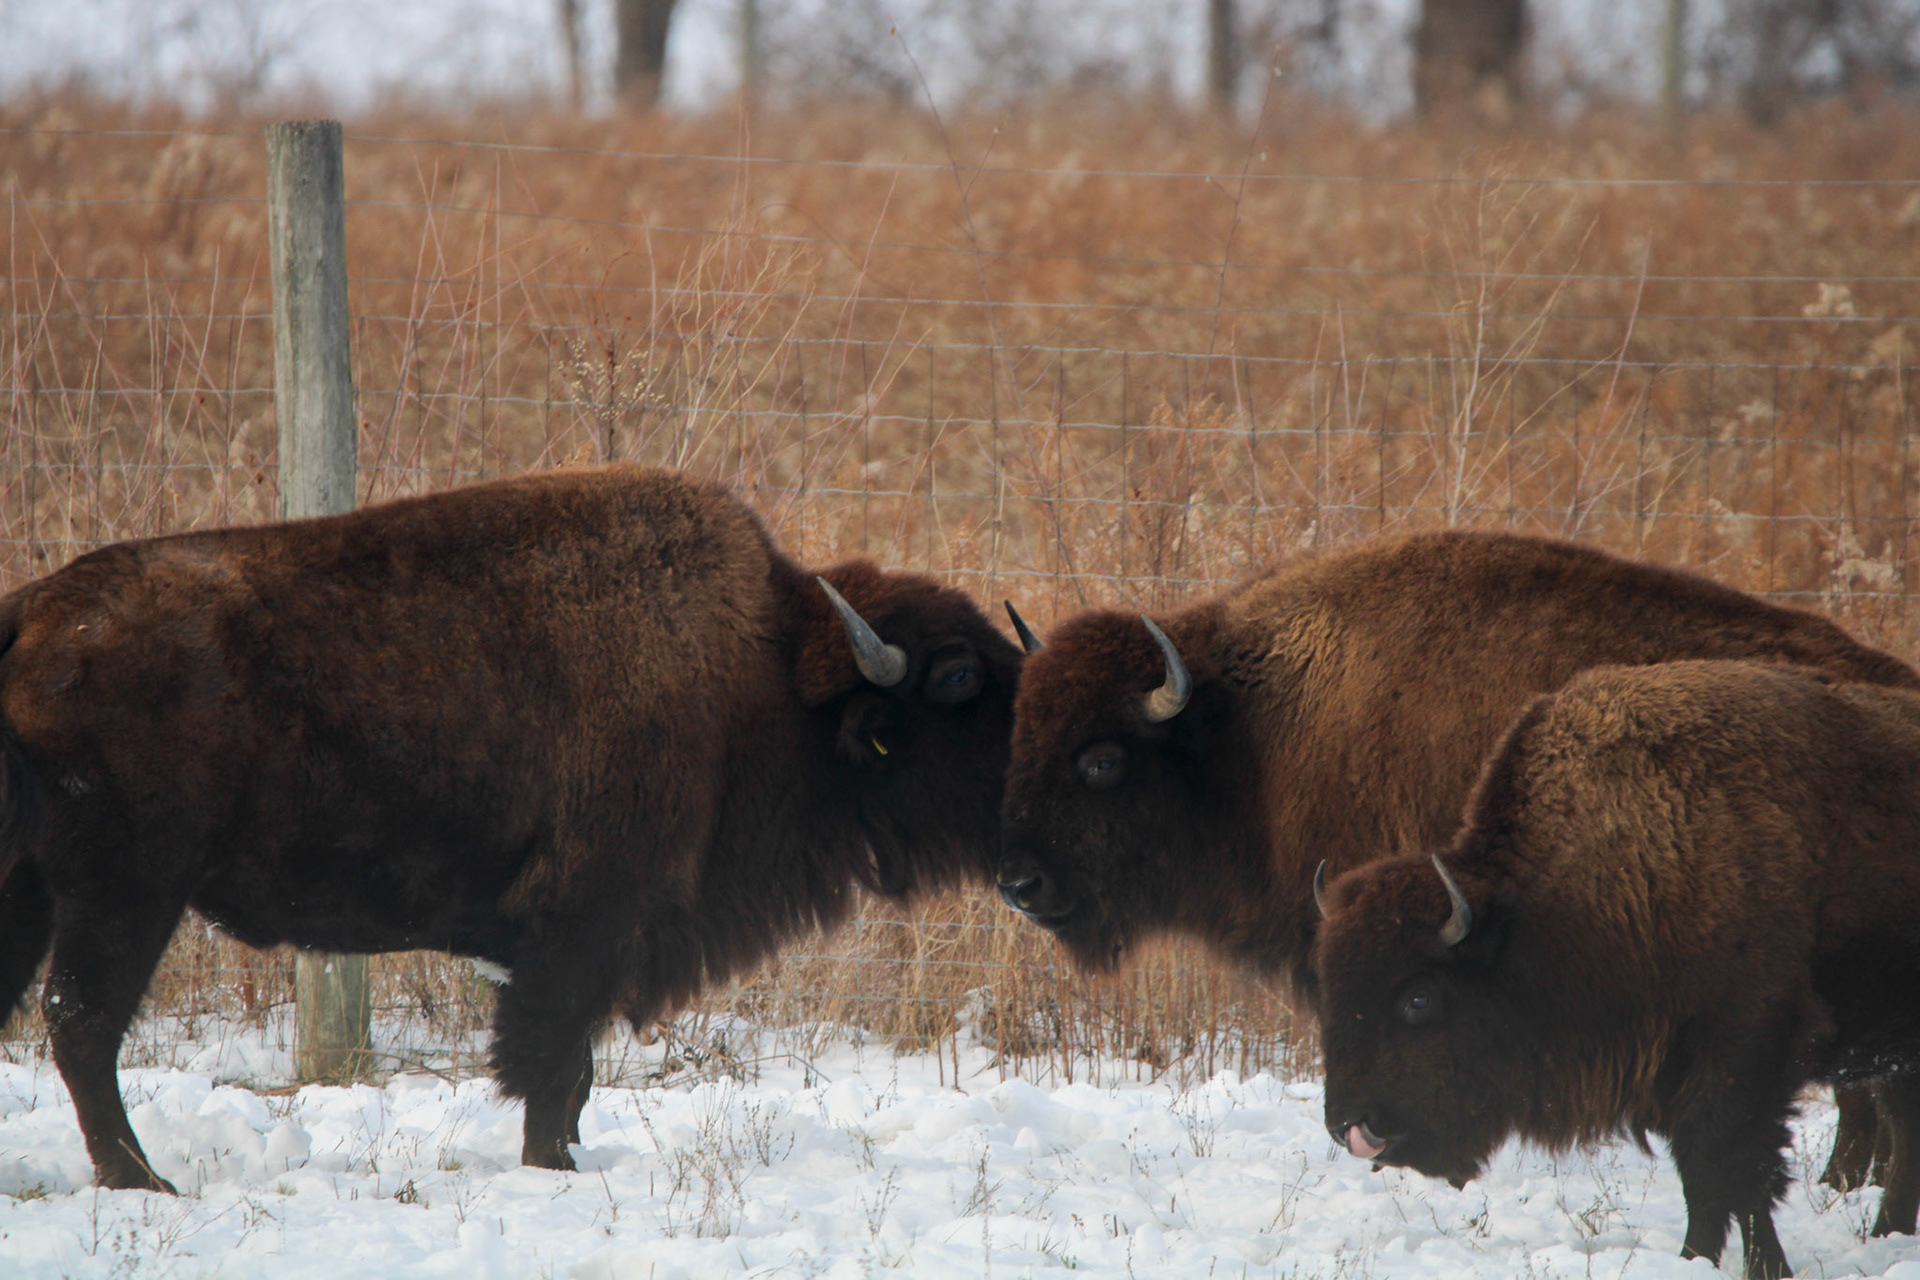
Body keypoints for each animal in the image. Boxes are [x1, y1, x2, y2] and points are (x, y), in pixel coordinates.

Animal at [0, 464, 1022, 1192]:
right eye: (959, 678)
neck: (767, 672)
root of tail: (37, 611)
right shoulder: (584, 930)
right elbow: (553, 1062)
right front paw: (552, 1168)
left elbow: (571, 1070)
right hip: (126, 892)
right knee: (82, 1025)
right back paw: (144, 1181)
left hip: (44, 894)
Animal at [1313, 660, 1920, 1279]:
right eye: (1332, 992)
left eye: (1419, 998)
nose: (1348, 1126)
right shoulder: (1671, 1074)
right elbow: (1703, 1181)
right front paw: (1693, 1258)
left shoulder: (1744, 1053)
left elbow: (1737, 1173)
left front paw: (1758, 1266)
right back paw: (1887, 1234)